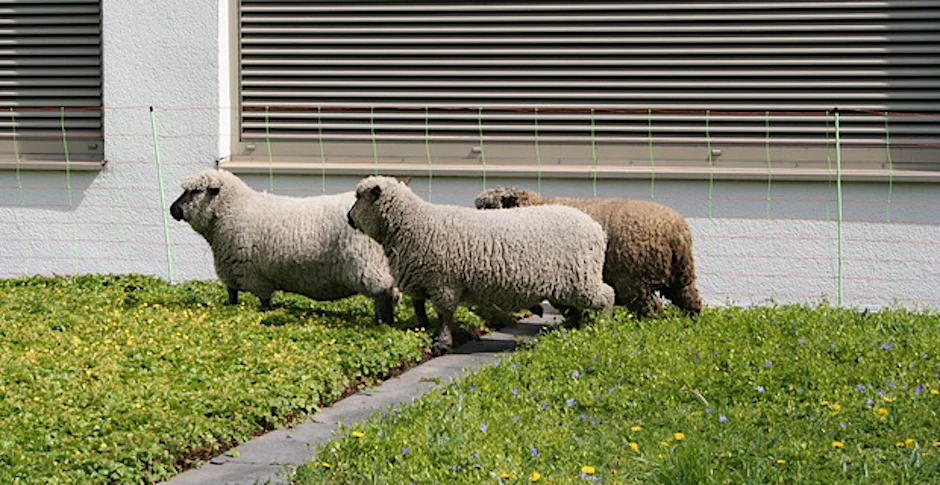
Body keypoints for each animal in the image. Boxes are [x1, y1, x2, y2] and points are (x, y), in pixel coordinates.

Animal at [169, 169, 402, 324]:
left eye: (196, 191)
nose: (173, 209)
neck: (233, 210)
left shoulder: (253, 274)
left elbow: (264, 302)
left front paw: (266, 312)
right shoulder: (232, 271)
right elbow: (232, 295)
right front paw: (231, 306)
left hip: (367, 264)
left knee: (383, 293)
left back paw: (383, 323)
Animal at [347, 176, 615, 355]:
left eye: (359, 197)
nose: (348, 218)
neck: (412, 223)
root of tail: (596, 228)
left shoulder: (444, 283)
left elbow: (445, 315)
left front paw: (442, 343)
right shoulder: (422, 279)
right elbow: (419, 305)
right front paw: (420, 328)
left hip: (582, 277)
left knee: (607, 295)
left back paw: (603, 324)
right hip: (568, 283)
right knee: (574, 307)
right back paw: (569, 329)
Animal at [475, 187, 702, 319]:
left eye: (489, 206)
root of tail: (676, 231)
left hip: (635, 280)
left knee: (651, 307)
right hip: (681, 274)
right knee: (690, 299)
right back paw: (691, 322)